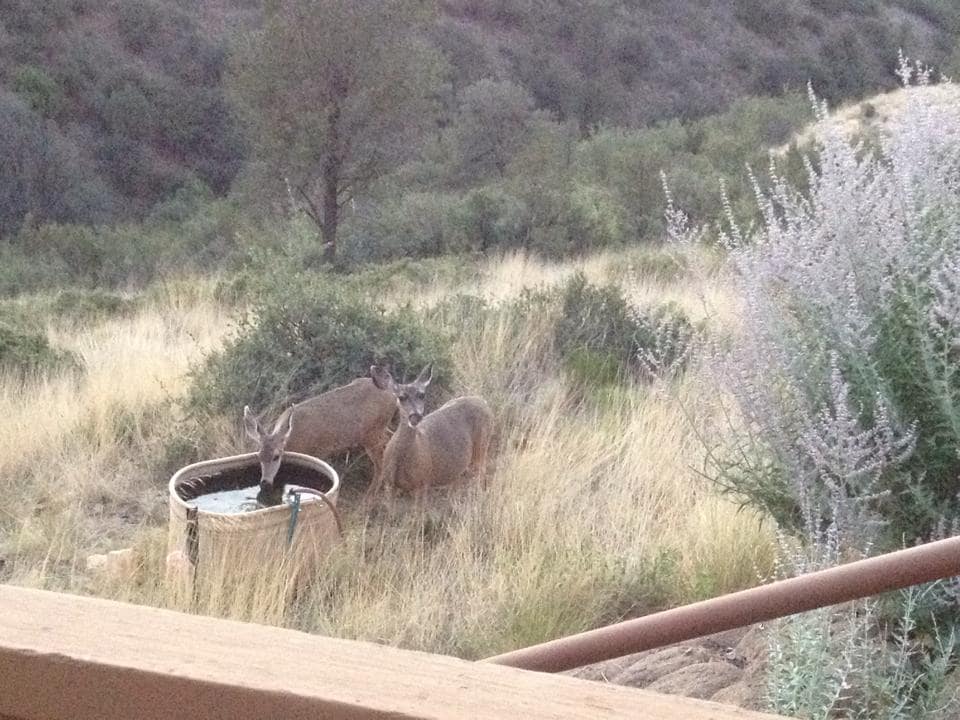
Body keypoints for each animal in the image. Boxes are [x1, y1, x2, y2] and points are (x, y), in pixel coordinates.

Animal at [242, 368, 410, 498]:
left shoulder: (314, 451)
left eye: (276, 456)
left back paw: (371, 496)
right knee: (390, 439)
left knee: (380, 463)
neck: (290, 437)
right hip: (379, 428)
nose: (264, 483)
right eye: (259, 456)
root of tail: (393, 394)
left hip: (371, 434)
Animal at [370, 362, 496, 504]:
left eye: (422, 395)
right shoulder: (389, 485)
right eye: (401, 397)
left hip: (482, 446)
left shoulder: (422, 482)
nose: (416, 417)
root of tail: (484, 403)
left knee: (482, 475)